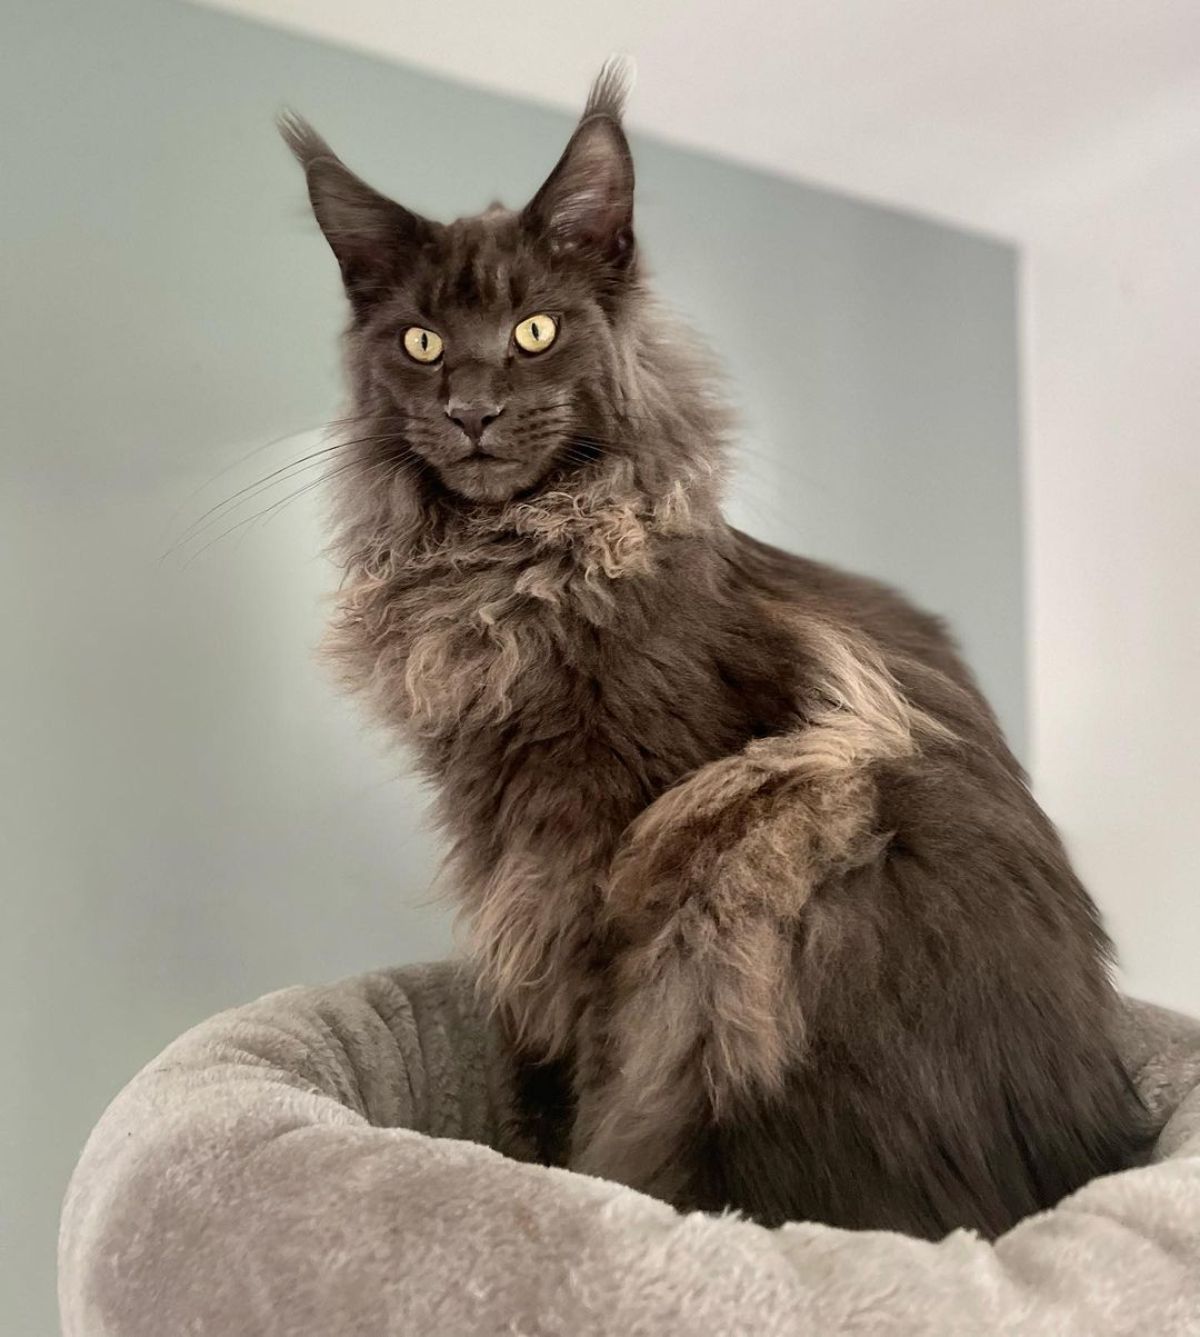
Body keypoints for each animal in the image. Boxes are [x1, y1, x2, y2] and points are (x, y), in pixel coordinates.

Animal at [277, 60, 1143, 1230]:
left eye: (536, 331)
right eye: (421, 342)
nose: (472, 409)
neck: (513, 575)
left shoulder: (599, 868)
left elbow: (588, 1067)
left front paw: (569, 1186)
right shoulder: (515, 870)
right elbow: (533, 1056)